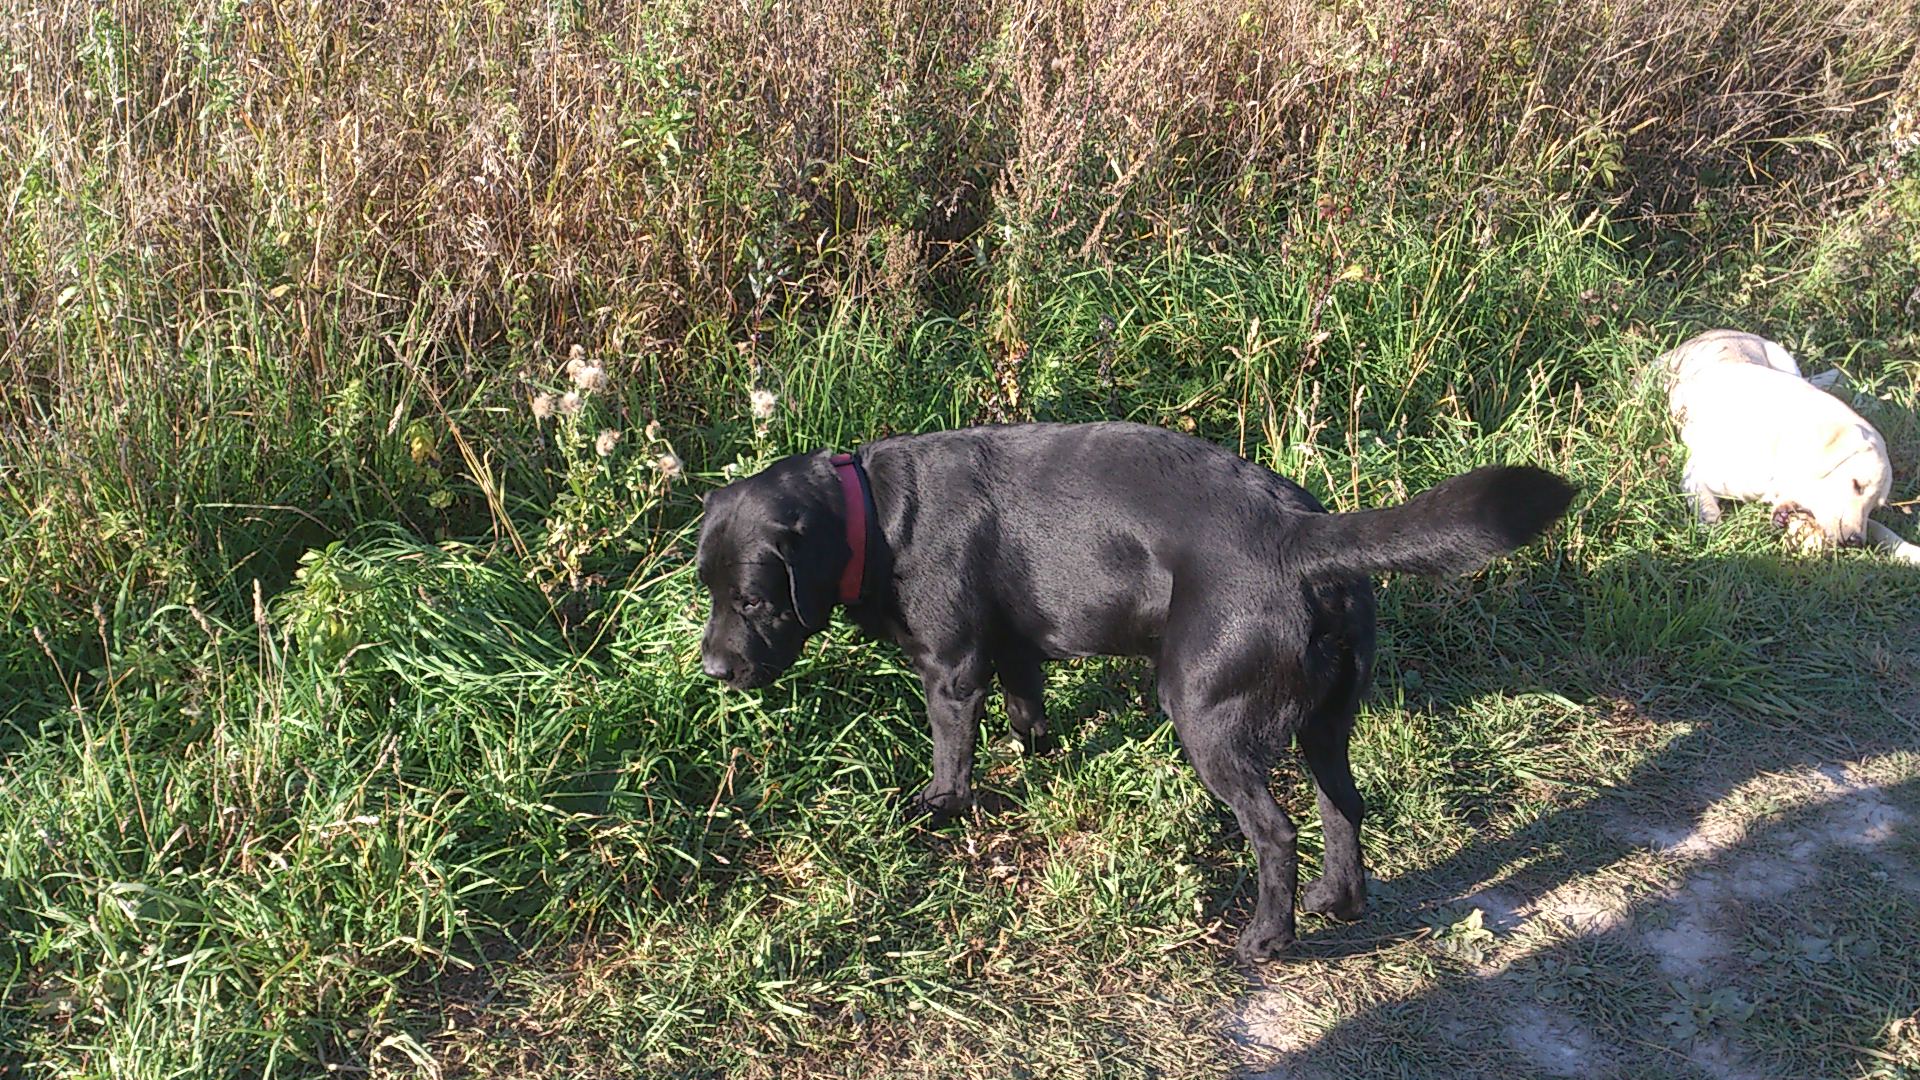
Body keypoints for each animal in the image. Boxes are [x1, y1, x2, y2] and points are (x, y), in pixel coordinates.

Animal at [696, 421, 1573, 962]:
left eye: (753, 601)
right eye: (706, 588)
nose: (711, 672)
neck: (876, 516)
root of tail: (1303, 535)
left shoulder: (950, 670)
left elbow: (952, 754)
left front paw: (939, 807)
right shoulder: (1016, 650)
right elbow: (1028, 709)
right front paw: (1041, 757)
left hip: (1205, 715)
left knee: (1276, 831)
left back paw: (1269, 937)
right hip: (1326, 719)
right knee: (1343, 808)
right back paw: (1337, 900)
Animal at [1660, 329, 1919, 561]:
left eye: (1875, 506)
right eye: (1857, 485)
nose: (1855, 541)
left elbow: (1882, 529)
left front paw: (1909, 552)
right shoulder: (1695, 475)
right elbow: (1708, 510)